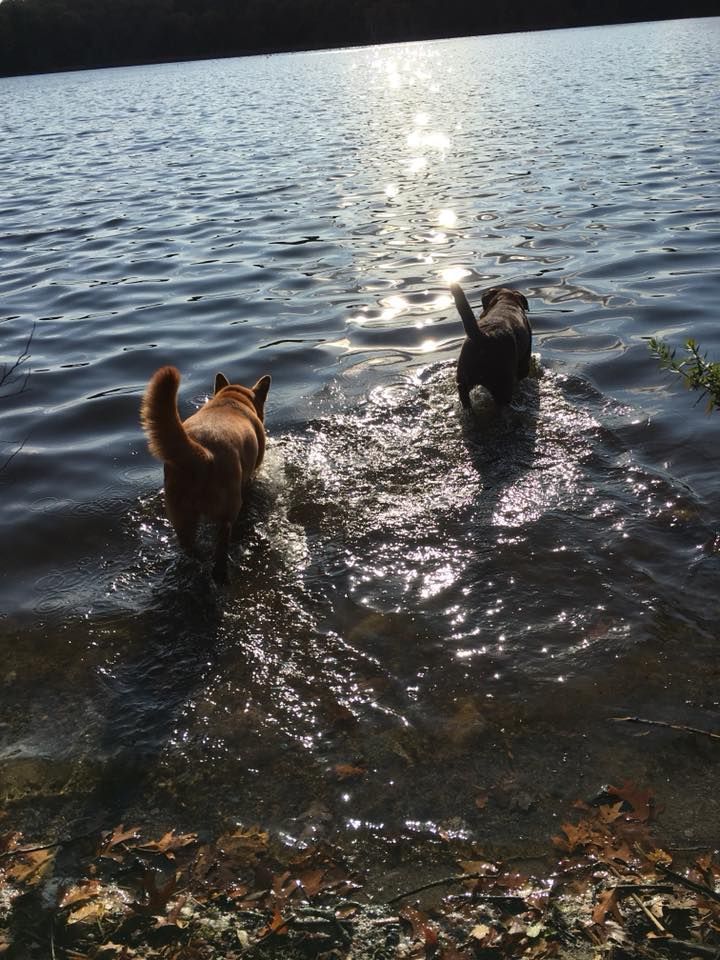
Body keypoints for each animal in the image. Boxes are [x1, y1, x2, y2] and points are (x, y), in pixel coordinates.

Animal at [141, 365, 271, 582]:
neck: (231, 399)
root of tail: (202, 453)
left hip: (180, 516)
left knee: (190, 549)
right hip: (228, 508)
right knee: (222, 542)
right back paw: (221, 573)